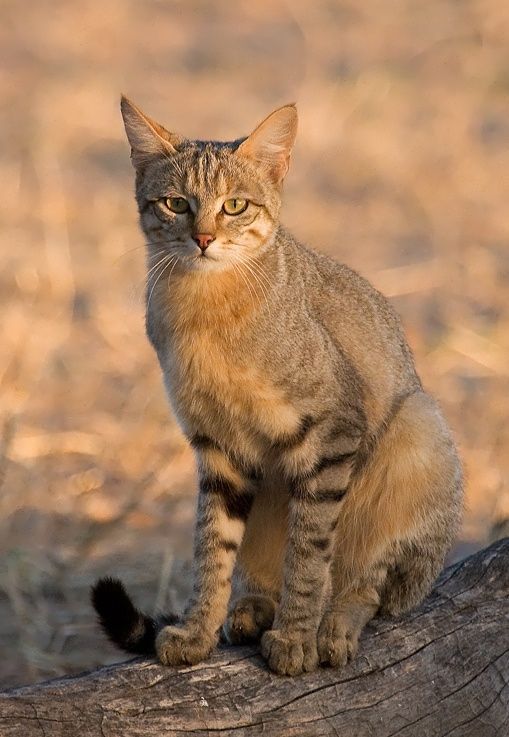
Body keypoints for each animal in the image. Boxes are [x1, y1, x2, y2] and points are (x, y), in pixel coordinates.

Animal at [90, 96, 460, 672]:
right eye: (175, 203)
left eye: (235, 206)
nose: (203, 239)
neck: (206, 311)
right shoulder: (217, 449)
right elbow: (212, 550)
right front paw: (197, 632)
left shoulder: (332, 434)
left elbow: (309, 553)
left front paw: (296, 638)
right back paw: (253, 610)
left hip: (420, 427)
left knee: (371, 586)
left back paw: (332, 625)